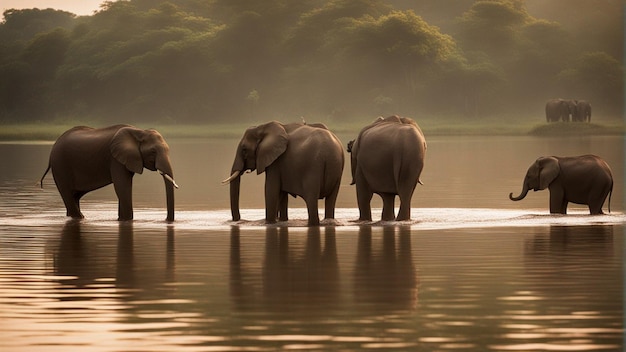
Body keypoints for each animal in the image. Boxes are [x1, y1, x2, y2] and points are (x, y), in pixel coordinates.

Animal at [40, 125, 178, 221]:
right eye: (153, 151)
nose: (166, 220)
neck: (139, 131)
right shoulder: (115, 160)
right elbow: (122, 187)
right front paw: (126, 219)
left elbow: (124, 188)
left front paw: (121, 220)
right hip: (60, 166)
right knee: (68, 196)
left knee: (74, 197)